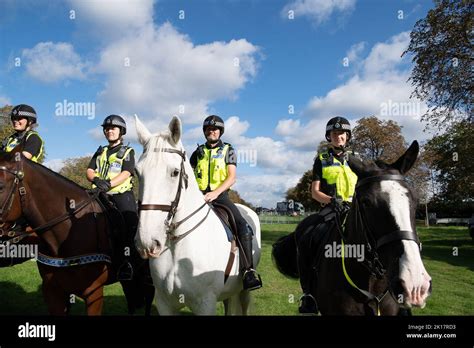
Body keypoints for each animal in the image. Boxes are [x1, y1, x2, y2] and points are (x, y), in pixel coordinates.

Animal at [133, 115, 262, 316]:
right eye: (137, 172)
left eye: (175, 172)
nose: (147, 242)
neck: (177, 247)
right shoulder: (164, 304)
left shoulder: (205, 304)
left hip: (243, 291)